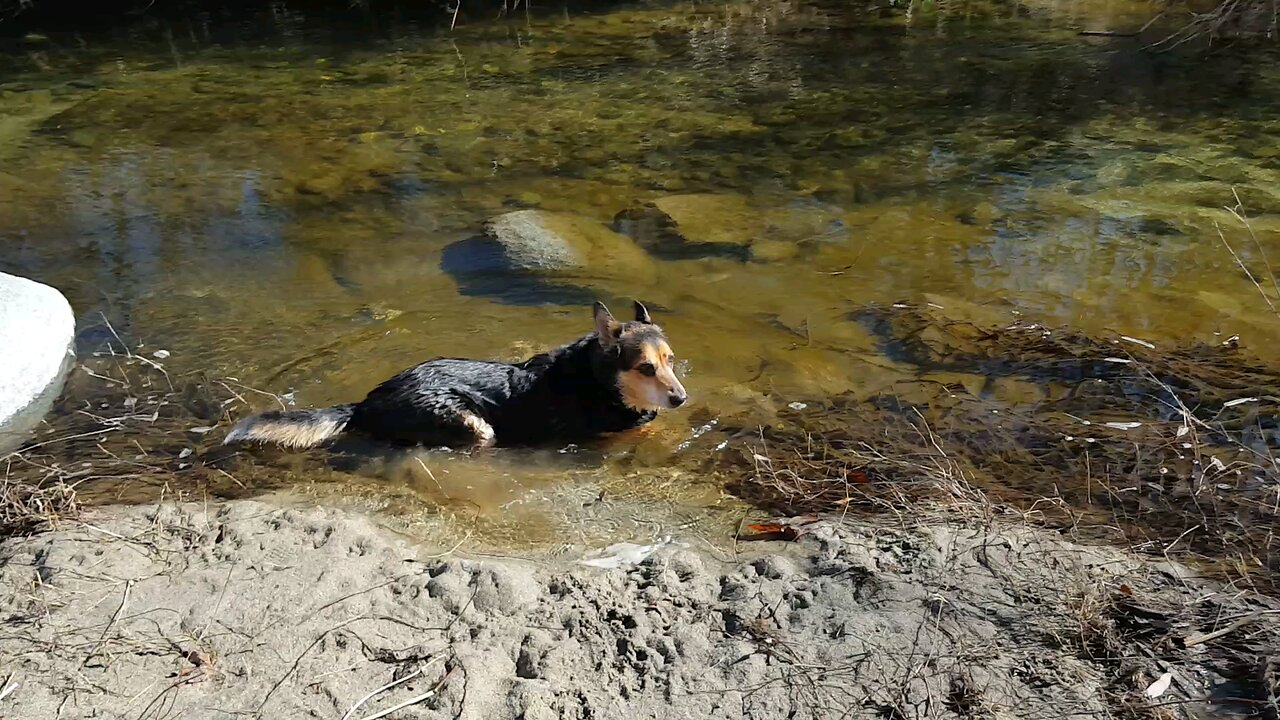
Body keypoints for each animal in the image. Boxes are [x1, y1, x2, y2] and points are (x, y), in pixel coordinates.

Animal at [225, 297, 686, 448]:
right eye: (646, 367)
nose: (681, 398)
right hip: (474, 426)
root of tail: (366, 402)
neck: (598, 381)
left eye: (670, 359)